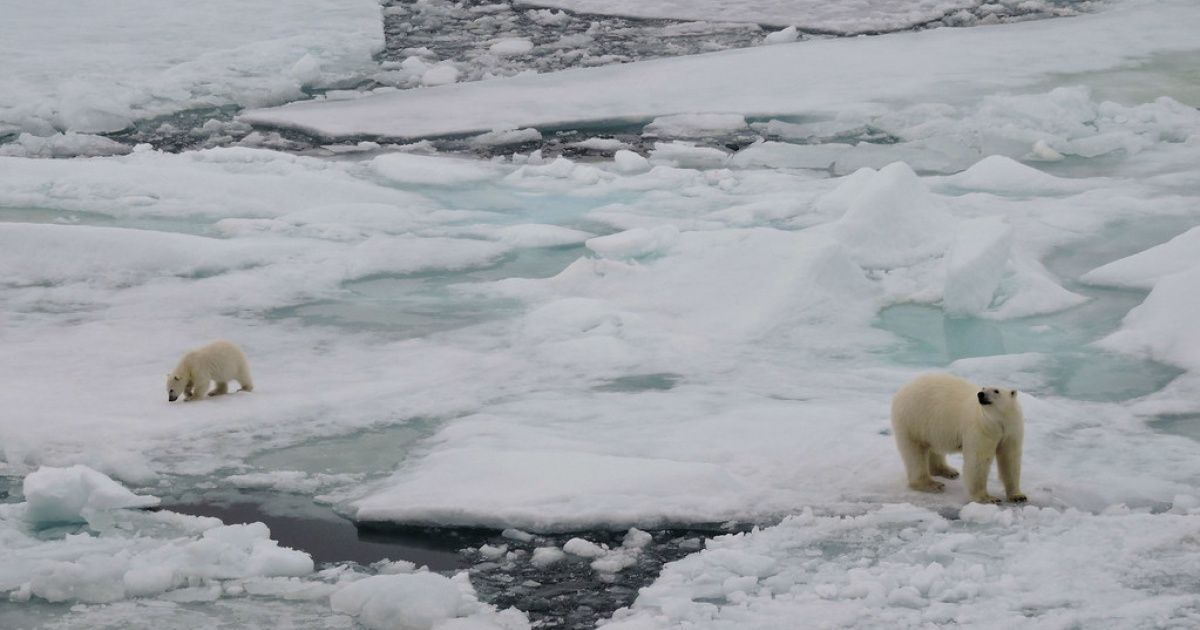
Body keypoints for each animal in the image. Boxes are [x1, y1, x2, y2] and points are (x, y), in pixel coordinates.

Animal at [888, 374, 1027, 501]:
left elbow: (1010, 458)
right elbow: (978, 459)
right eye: (983, 387)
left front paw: (1018, 495)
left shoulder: (1011, 431)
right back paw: (931, 484)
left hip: (930, 425)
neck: (998, 423)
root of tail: (902, 390)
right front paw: (987, 498)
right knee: (914, 453)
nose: (980, 394)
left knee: (933, 447)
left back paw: (948, 471)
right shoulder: (981, 428)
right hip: (913, 419)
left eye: (996, 391)